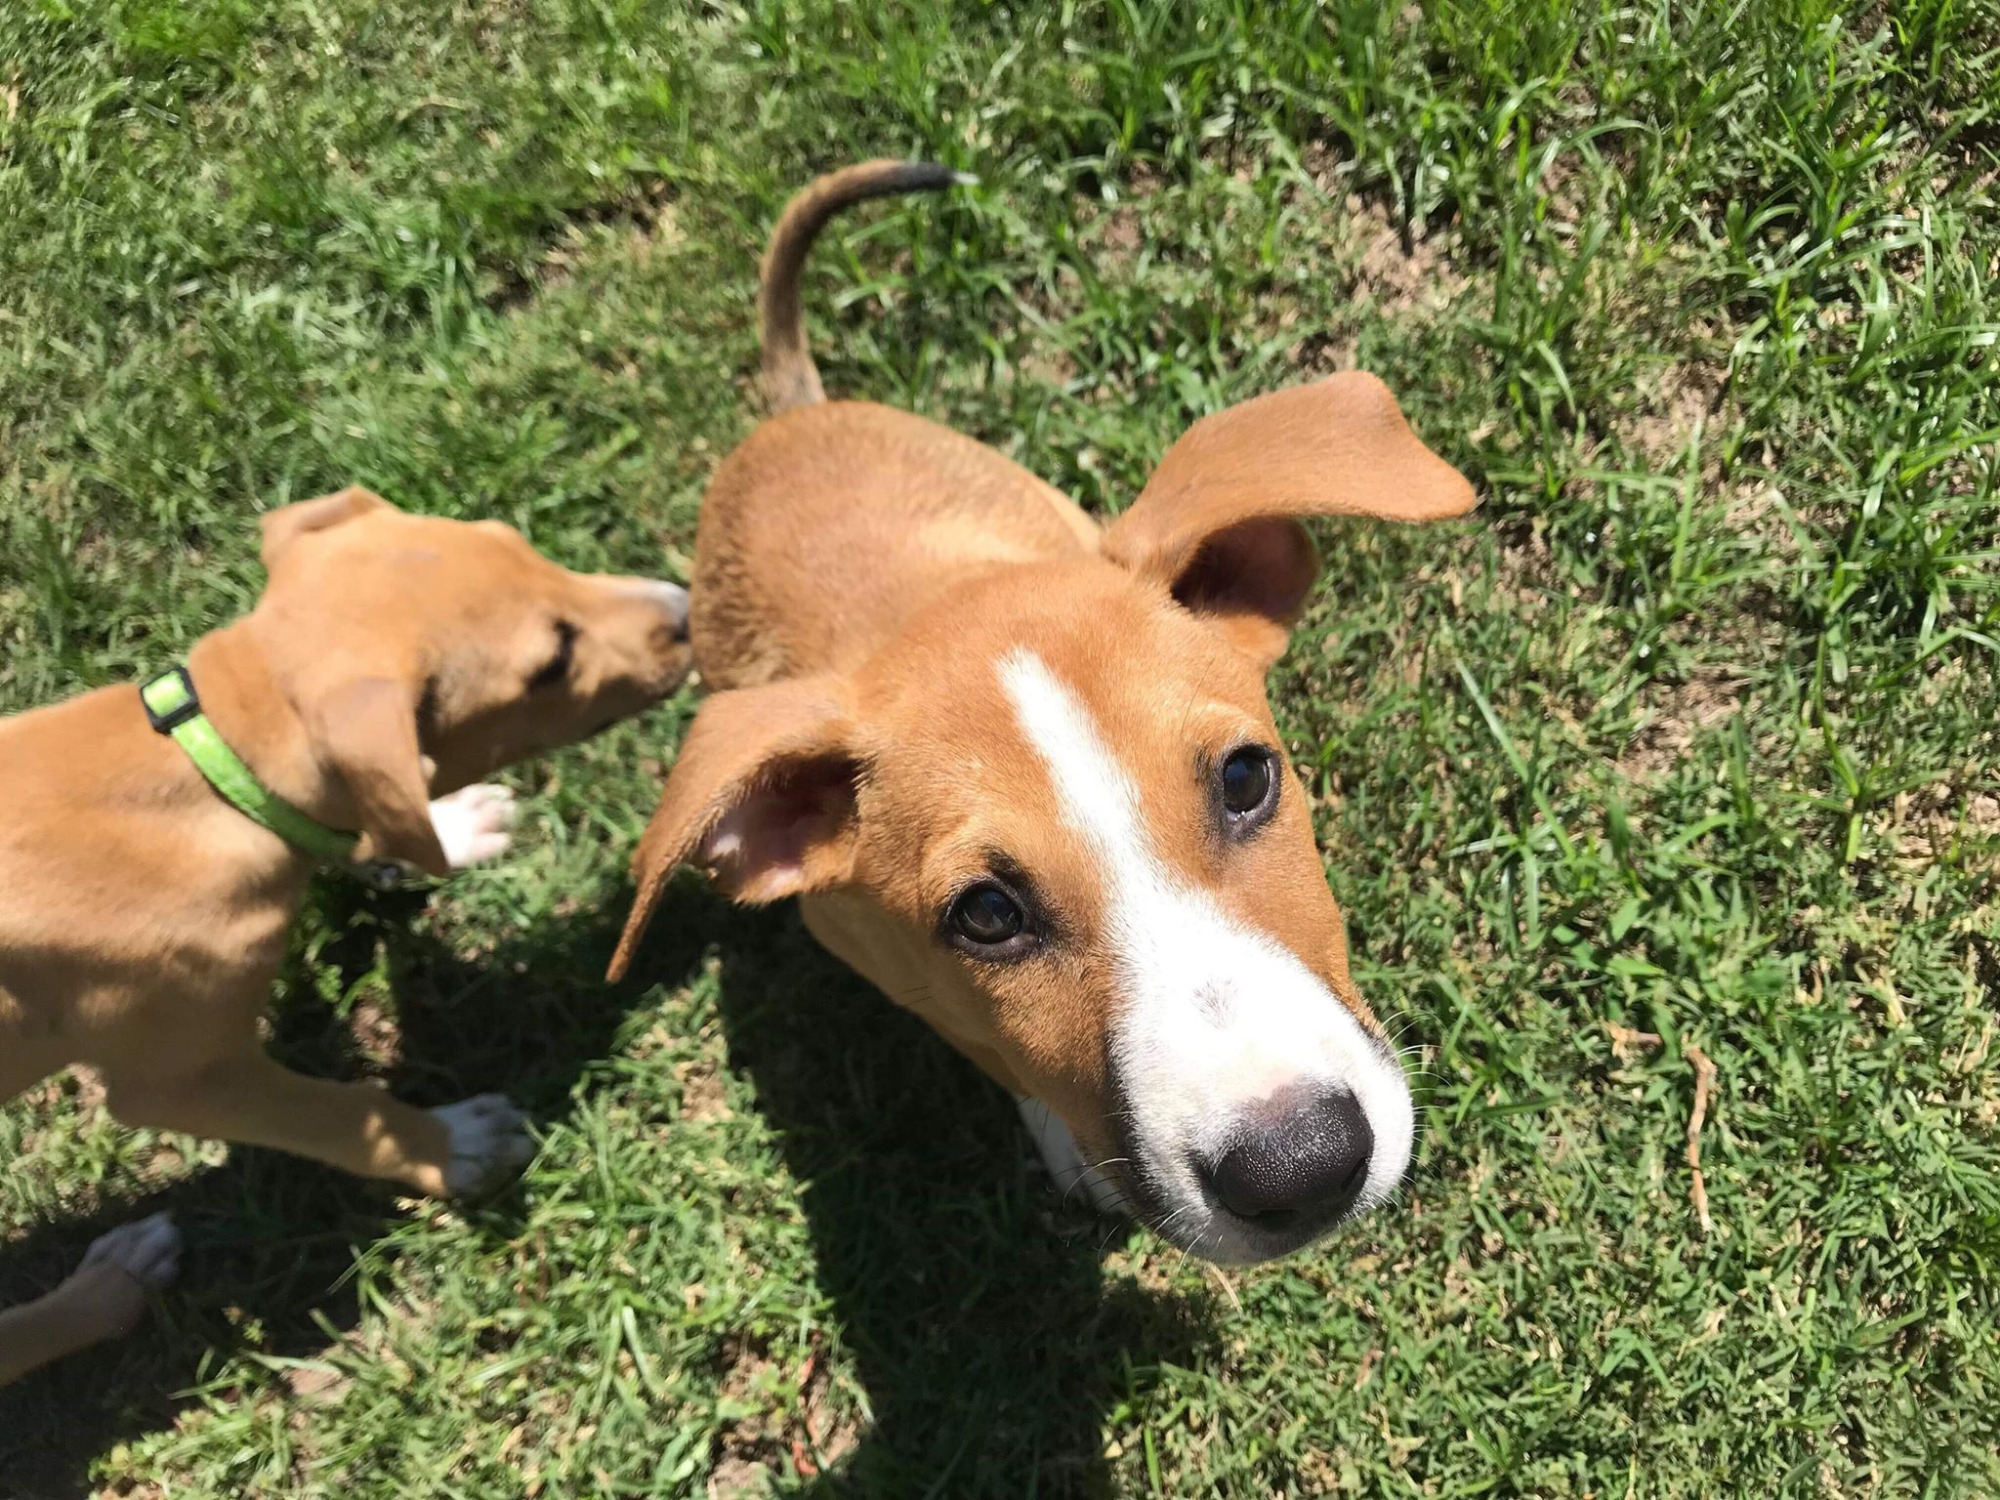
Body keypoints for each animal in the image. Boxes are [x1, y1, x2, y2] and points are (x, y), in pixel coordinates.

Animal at [0, 486, 690, 1383]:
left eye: (519, 544)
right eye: (548, 666)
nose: (686, 608)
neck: (212, 770)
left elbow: (379, 816)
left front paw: (445, 828)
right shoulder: (181, 1078)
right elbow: (340, 1111)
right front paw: (454, 1144)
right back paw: (111, 1287)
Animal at [608, 162, 1478, 1266]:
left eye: (1246, 777)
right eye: (986, 916)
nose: (1304, 1170)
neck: (929, 605)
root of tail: (781, 422)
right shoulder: (890, 962)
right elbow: (998, 1052)